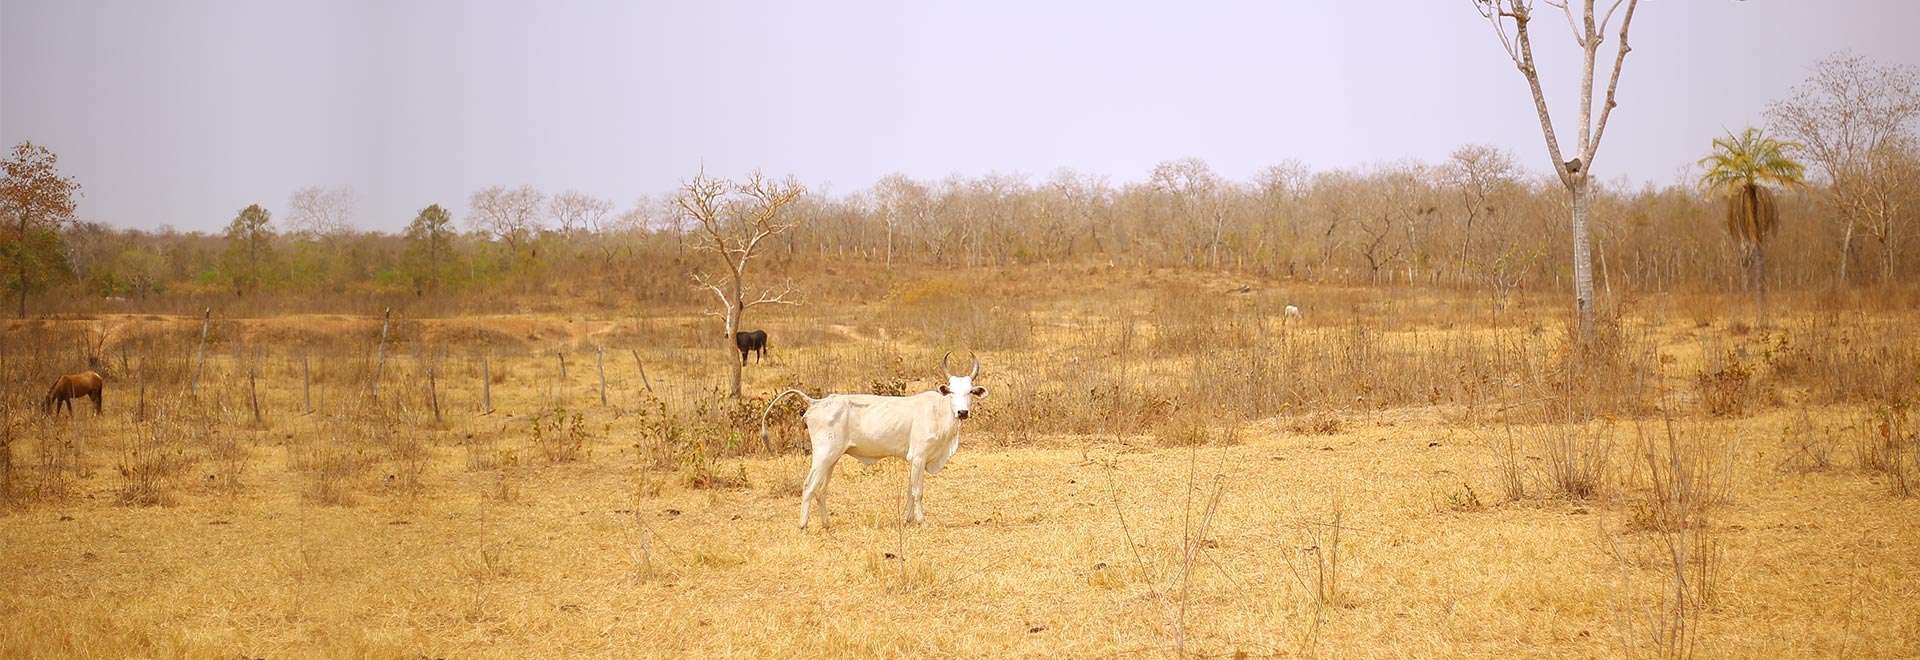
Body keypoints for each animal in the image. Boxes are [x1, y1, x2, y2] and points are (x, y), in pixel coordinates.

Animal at [756, 353, 990, 529]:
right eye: (951, 392)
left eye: (970, 391)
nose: (962, 412)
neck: (939, 411)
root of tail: (817, 402)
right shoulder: (918, 457)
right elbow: (917, 492)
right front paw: (922, 521)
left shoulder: (914, 461)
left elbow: (909, 490)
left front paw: (908, 520)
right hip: (824, 455)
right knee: (808, 486)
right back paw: (803, 525)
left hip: (832, 458)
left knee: (821, 490)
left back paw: (826, 523)